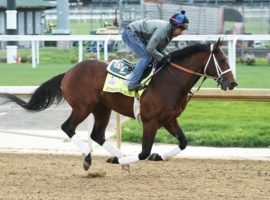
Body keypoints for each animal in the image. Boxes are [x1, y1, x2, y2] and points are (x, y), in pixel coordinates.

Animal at [1, 38, 236, 170]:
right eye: (222, 60)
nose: (233, 83)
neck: (169, 81)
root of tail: (68, 72)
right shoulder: (150, 121)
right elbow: (143, 152)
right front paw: (121, 162)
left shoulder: (169, 120)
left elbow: (183, 142)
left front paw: (158, 156)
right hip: (83, 107)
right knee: (68, 127)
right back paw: (91, 157)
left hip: (102, 109)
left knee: (97, 134)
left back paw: (118, 155)